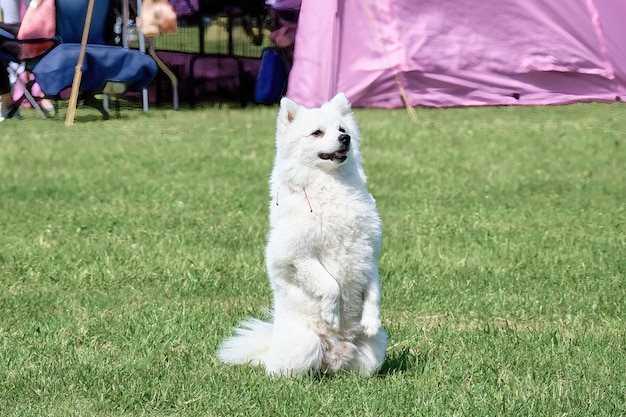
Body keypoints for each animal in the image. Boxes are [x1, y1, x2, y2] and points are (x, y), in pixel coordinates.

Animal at [218, 92, 386, 376]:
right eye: (317, 133)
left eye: (342, 129)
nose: (345, 139)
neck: (332, 186)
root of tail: (333, 358)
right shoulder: (295, 257)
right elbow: (330, 284)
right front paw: (331, 315)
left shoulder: (368, 252)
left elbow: (374, 289)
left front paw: (372, 320)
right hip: (304, 346)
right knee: (280, 370)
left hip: (372, 354)